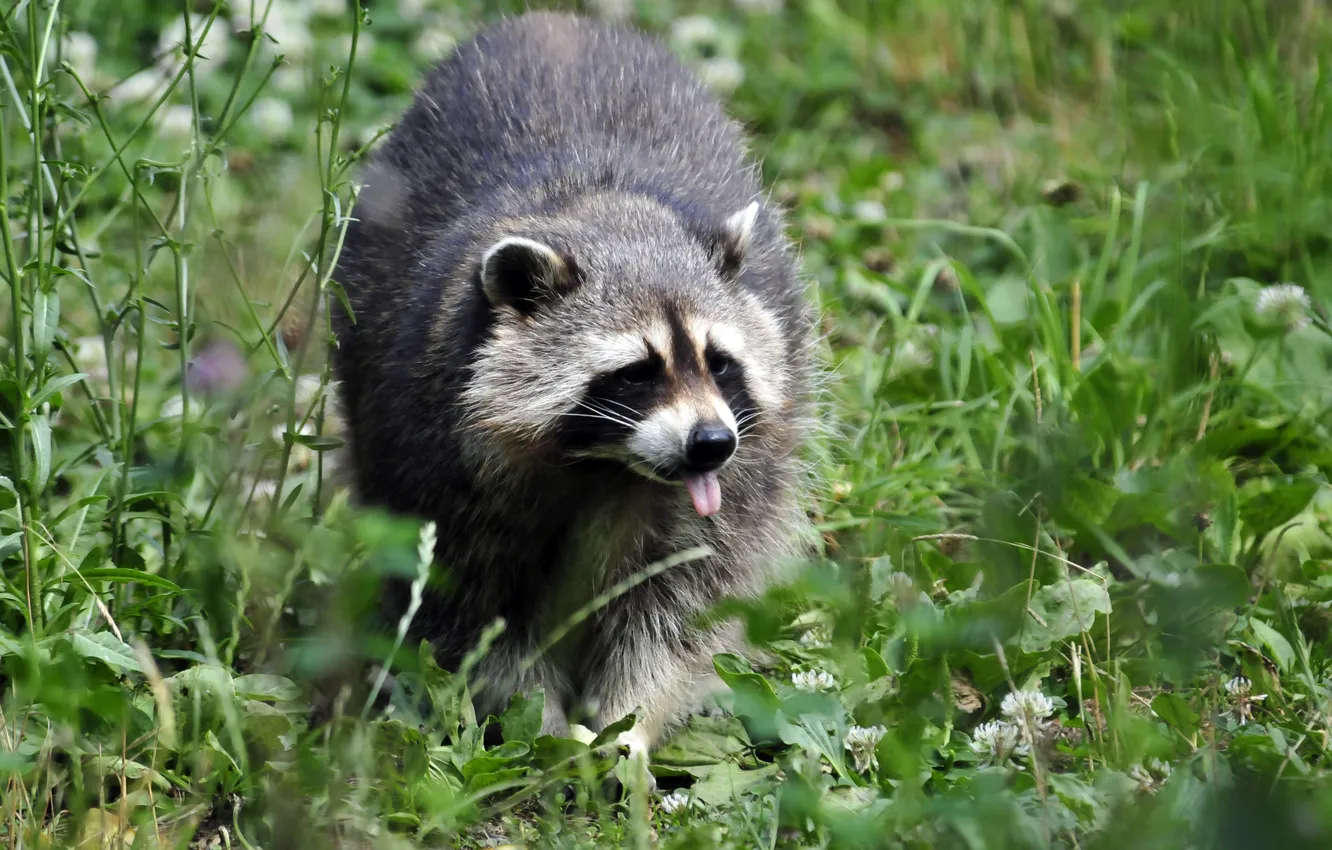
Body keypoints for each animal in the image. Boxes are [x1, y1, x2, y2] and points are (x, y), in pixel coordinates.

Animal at [331, 11, 819, 761]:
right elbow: (478, 611)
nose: (711, 444)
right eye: (637, 371)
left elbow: (681, 606)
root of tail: (558, 18)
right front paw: (544, 724)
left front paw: (629, 722)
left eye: (720, 362)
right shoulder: (431, 452)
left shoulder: (742, 484)